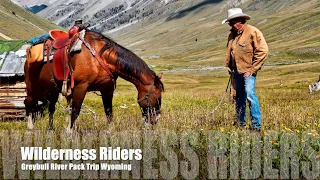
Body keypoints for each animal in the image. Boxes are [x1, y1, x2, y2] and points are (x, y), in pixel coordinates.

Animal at [24, 29, 164, 131]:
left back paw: (50, 129)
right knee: (29, 103)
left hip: (52, 90)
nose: (156, 119)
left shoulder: (107, 90)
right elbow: (75, 111)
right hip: (33, 88)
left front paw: (109, 130)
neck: (100, 57)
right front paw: (69, 132)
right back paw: (30, 127)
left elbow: (109, 112)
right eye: (156, 96)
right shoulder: (81, 87)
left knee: (51, 108)